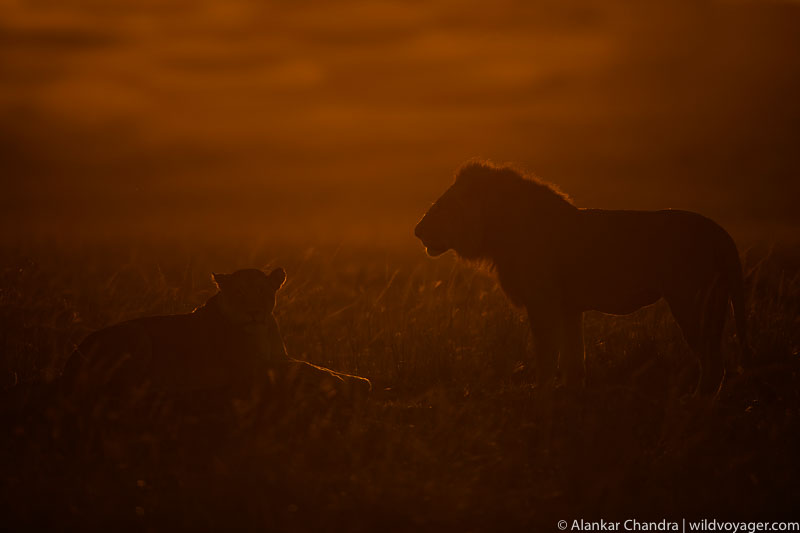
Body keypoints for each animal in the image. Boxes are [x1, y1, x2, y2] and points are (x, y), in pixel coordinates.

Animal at [414, 161, 749, 394]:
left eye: (444, 204)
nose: (417, 230)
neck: (497, 234)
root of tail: (721, 234)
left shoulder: (542, 303)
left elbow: (547, 355)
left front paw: (541, 395)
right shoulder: (569, 309)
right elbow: (575, 358)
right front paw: (570, 395)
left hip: (691, 303)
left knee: (712, 362)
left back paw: (697, 402)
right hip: (713, 303)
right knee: (717, 361)